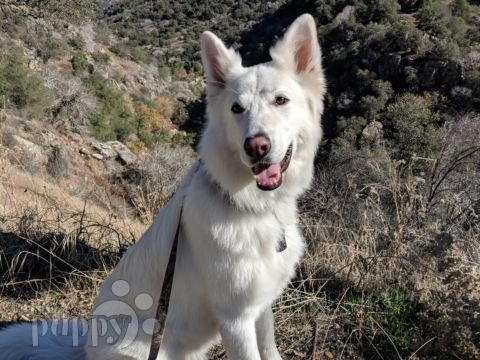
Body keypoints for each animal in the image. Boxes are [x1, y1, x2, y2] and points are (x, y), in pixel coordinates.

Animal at [0, 12, 326, 358]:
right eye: (237, 109)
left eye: (281, 100)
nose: (256, 147)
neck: (250, 205)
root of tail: (85, 348)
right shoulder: (236, 319)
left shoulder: (260, 308)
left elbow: (271, 349)